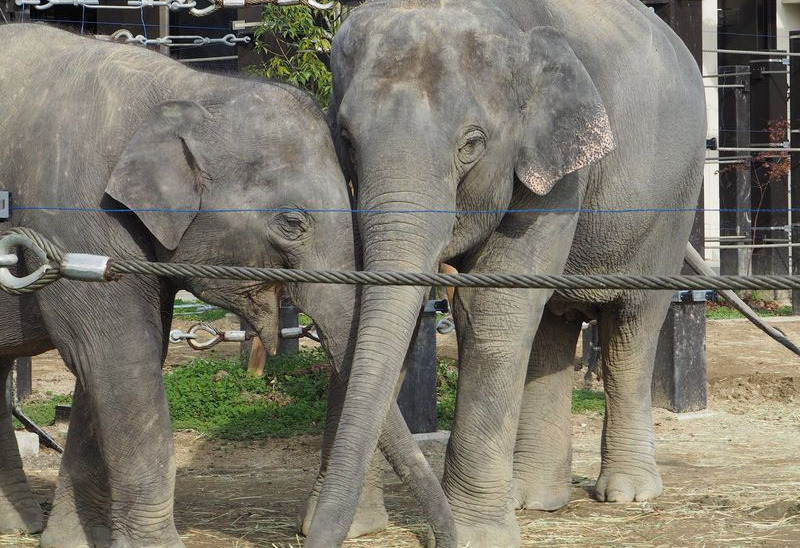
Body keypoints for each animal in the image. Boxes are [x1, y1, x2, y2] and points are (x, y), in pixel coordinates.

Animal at [0, 22, 450, 548]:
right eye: (292, 223)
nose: (440, 538)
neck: (188, 87)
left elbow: (122, 356)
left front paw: (70, 540)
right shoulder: (70, 215)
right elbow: (118, 354)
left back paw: (19, 525)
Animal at [306, 2, 708, 544]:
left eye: (472, 144)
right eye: (346, 139)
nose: (316, 535)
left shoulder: (559, 174)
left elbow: (494, 309)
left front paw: (475, 535)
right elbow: (367, 306)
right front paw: (349, 527)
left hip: (673, 202)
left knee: (632, 325)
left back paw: (626, 493)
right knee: (552, 325)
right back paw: (534, 499)